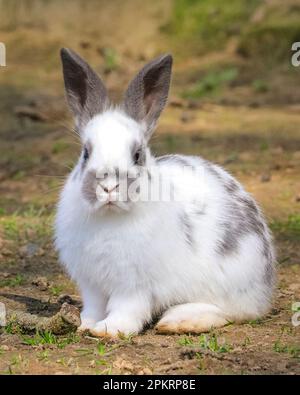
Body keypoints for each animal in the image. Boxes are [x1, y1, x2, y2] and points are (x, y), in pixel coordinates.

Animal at [55, 47, 276, 338]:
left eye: (137, 155)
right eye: (85, 153)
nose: (109, 186)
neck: (110, 218)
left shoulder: (134, 286)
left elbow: (127, 309)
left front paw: (109, 330)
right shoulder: (92, 284)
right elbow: (93, 307)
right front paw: (86, 325)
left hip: (231, 281)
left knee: (229, 312)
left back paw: (180, 320)